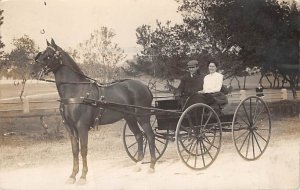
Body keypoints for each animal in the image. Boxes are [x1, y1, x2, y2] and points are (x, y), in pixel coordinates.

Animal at [31, 38, 156, 184]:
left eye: (49, 55)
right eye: (42, 53)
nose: (32, 72)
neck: (75, 91)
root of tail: (145, 87)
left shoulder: (82, 126)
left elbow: (83, 150)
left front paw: (83, 177)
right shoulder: (70, 127)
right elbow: (75, 150)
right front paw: (72, 176)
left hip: (142, 116)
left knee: (150, 136)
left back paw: (152, 166)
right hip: (130, 117)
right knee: (139, 136)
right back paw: (138, 164)